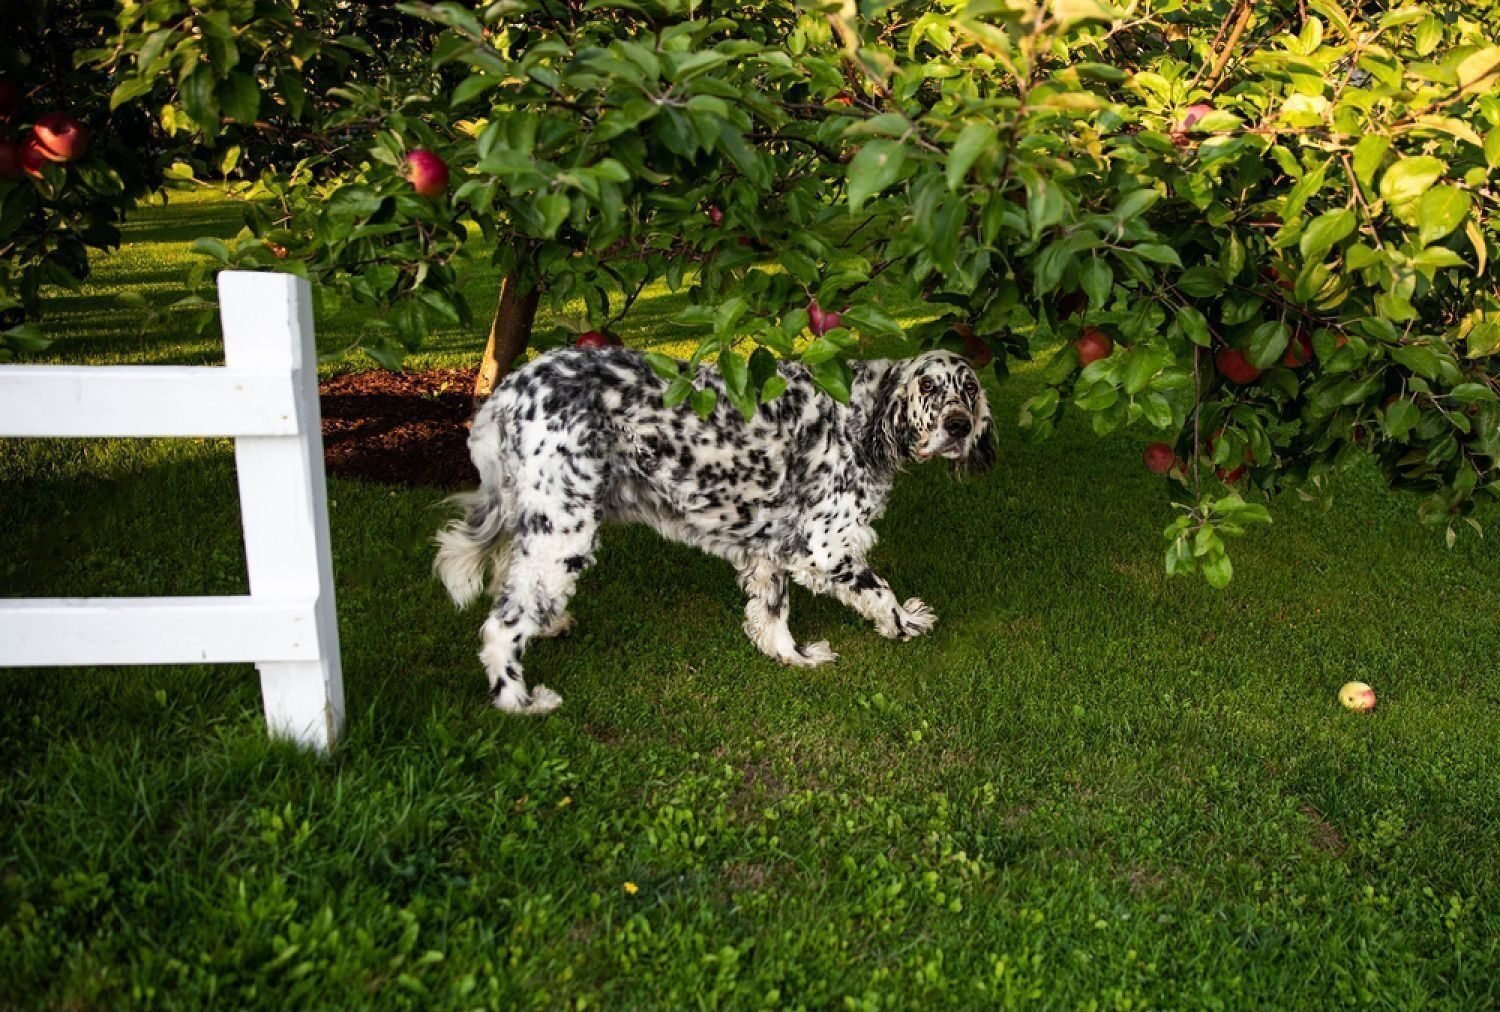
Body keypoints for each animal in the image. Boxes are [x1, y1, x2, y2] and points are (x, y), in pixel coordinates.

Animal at [435, 346, 996, 713]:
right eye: (928, 386)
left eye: (969, 389)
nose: (959, 427)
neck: (861, 416)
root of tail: (508, 392)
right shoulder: (824, 547)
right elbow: (880, 592)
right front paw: (907, 624)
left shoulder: (773, 550)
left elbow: (773, 613)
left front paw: (792, 656)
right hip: (563, 532)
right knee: (502, 625)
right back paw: (520, 700)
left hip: (540, 524)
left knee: (511, 581)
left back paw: (550, 623)